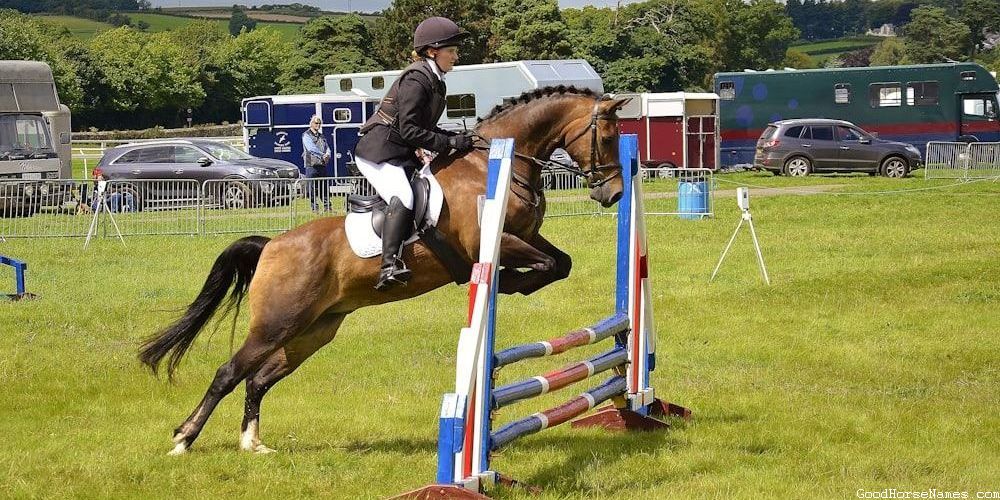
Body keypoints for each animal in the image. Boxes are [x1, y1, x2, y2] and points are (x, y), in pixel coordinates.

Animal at [139, 86, 630, 455]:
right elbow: (542, 264)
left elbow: (560, 263)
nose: (612, 196)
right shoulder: (492, 242)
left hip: (312, 330)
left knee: (258, 378)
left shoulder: (527, 236)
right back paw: (184, 440)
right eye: (607, 137)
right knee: (229, 372)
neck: (496, 166)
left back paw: (252, 443)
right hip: (276, 323)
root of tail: (272, 245)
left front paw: (512, 284)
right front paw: (508, 283)